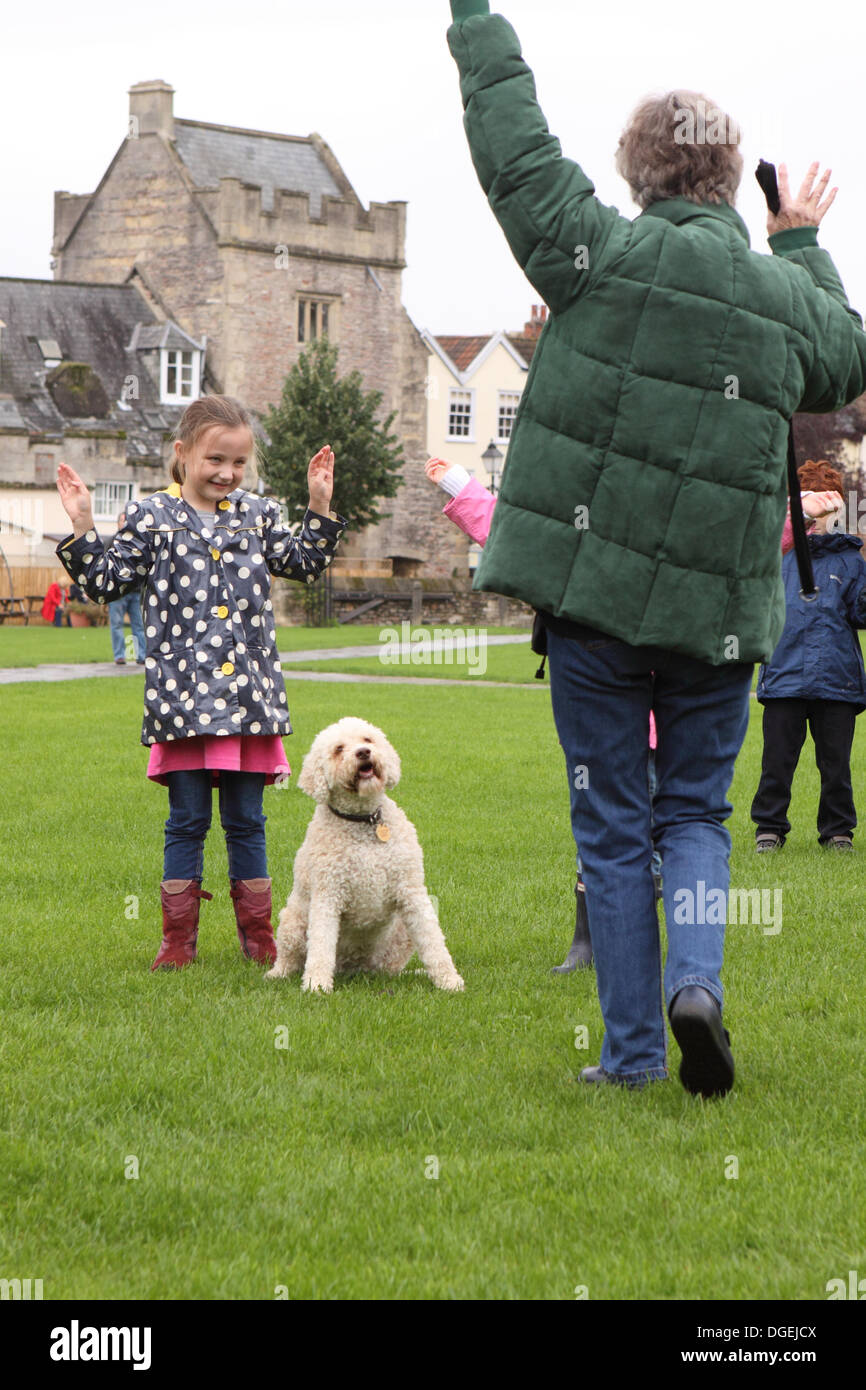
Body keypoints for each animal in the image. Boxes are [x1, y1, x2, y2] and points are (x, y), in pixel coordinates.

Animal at [265, 722, 464, 995]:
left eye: (367, 739)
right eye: (339, 749)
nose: (363, 752)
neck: (363, 820)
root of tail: (355, 968)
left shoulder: (412, 891)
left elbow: (433, 942)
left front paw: (449, 980)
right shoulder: (327, 895)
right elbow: (321, 945)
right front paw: (317, 985)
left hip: (400, 933)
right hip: (292, 922)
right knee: (290, 958)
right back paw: (277, 974)